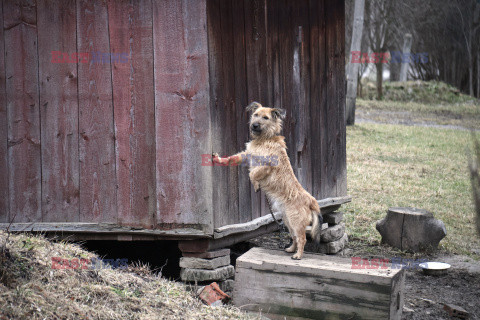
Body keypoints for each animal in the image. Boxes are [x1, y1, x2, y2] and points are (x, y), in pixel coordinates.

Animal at [213, 102, 318, 260]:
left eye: (266, 118)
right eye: (255, 115)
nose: (254, 125)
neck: (264, 138)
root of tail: (310, 201)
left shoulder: (266, 165)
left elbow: (253, 174)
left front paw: (256, 185)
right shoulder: (247, 155)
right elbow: (233, 158)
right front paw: (219, 159)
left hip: (295, 221)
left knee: (302, 238)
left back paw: (298, 255)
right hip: (288, 220)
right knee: (294, 237)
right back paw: (291, 249)